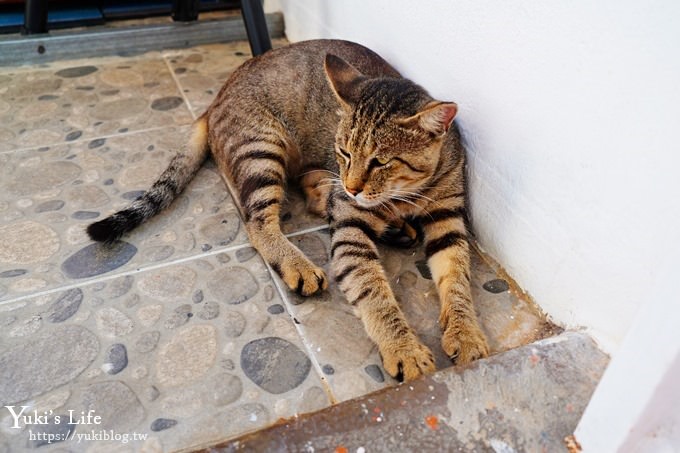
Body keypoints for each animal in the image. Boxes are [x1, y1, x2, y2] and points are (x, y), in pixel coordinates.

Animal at [87, 38, 486, 380]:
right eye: (345, 152)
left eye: (381, 162)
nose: (353, 185)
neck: (407, 194)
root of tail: (215, 99)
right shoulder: (349, 225)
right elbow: (372, 290)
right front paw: (403, 348)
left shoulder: (449, 220)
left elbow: (458, 279)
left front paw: (466, 332)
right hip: (261, 148)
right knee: (257, 221)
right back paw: (298, 263)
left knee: (312, 193)